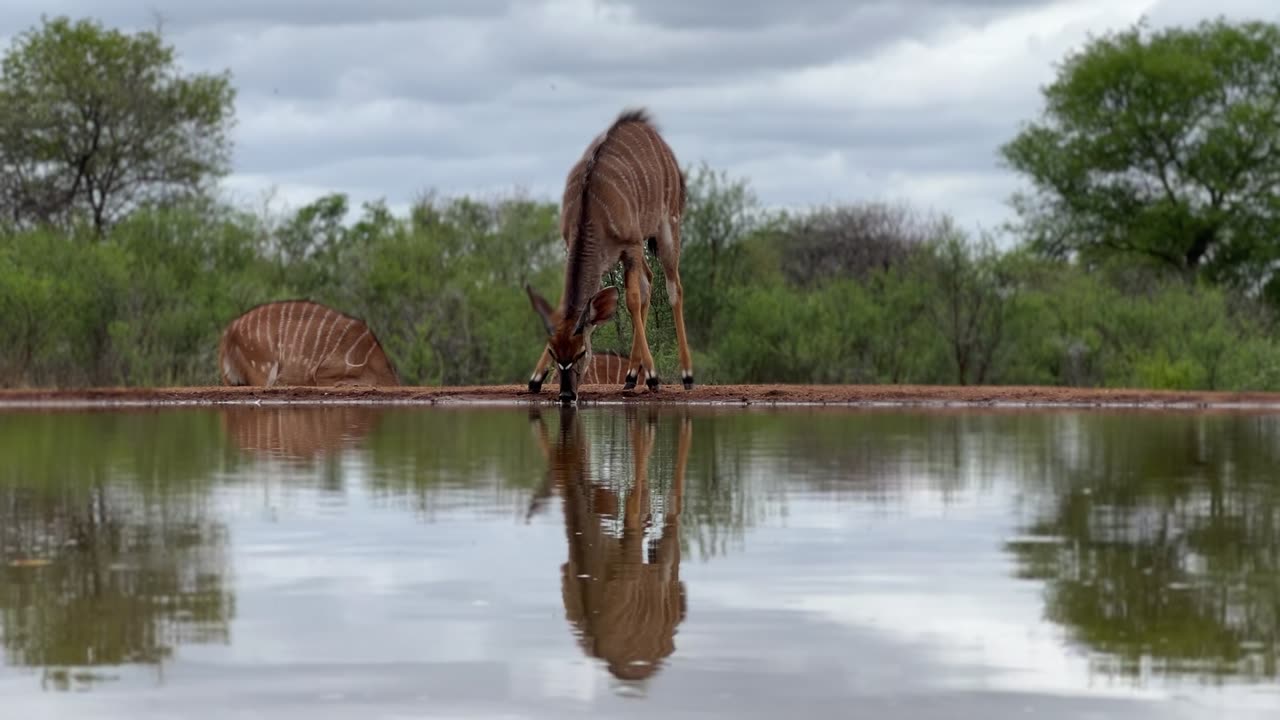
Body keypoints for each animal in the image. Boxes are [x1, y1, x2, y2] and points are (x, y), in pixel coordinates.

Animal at [524, 105, 696, 399]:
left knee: (673, 288)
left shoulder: (631, 245)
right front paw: (535, 378)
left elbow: (631, 300)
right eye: (552, 350)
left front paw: (653, 376)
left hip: (667, 227)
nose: (566, 395)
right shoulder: (586, 251)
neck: (590, 209)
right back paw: (630, 376)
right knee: (649, 282)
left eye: (581, 352)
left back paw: (685, 375)